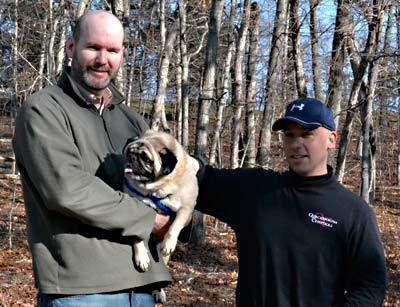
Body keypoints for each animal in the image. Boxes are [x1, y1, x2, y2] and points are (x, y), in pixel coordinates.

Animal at [122, 129, 199, 272]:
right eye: (129, 152)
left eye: (147, 159)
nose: (132, 158)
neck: (157, 188)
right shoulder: (138, 208)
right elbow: (137, 233)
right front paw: (141, 256)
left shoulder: (186, 208)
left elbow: (175, 226)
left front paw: (168, 244)